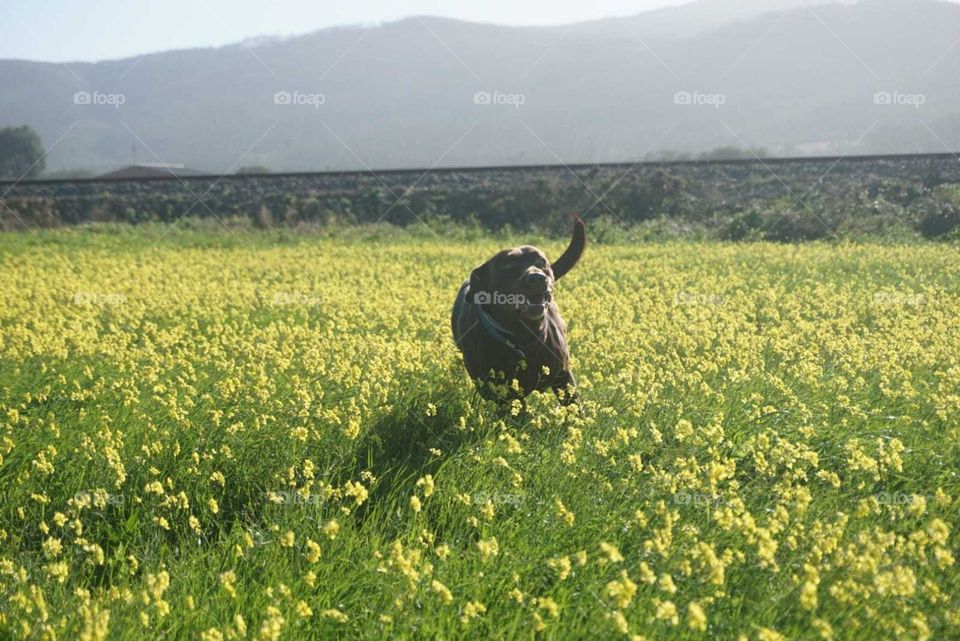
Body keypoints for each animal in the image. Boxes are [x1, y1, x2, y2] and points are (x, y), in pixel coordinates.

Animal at [452, 216, 584, 404]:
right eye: (507, 267)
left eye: (541, 262)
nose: (537, 278)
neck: (524, 336)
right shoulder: (501, 394)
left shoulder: (564, 377)